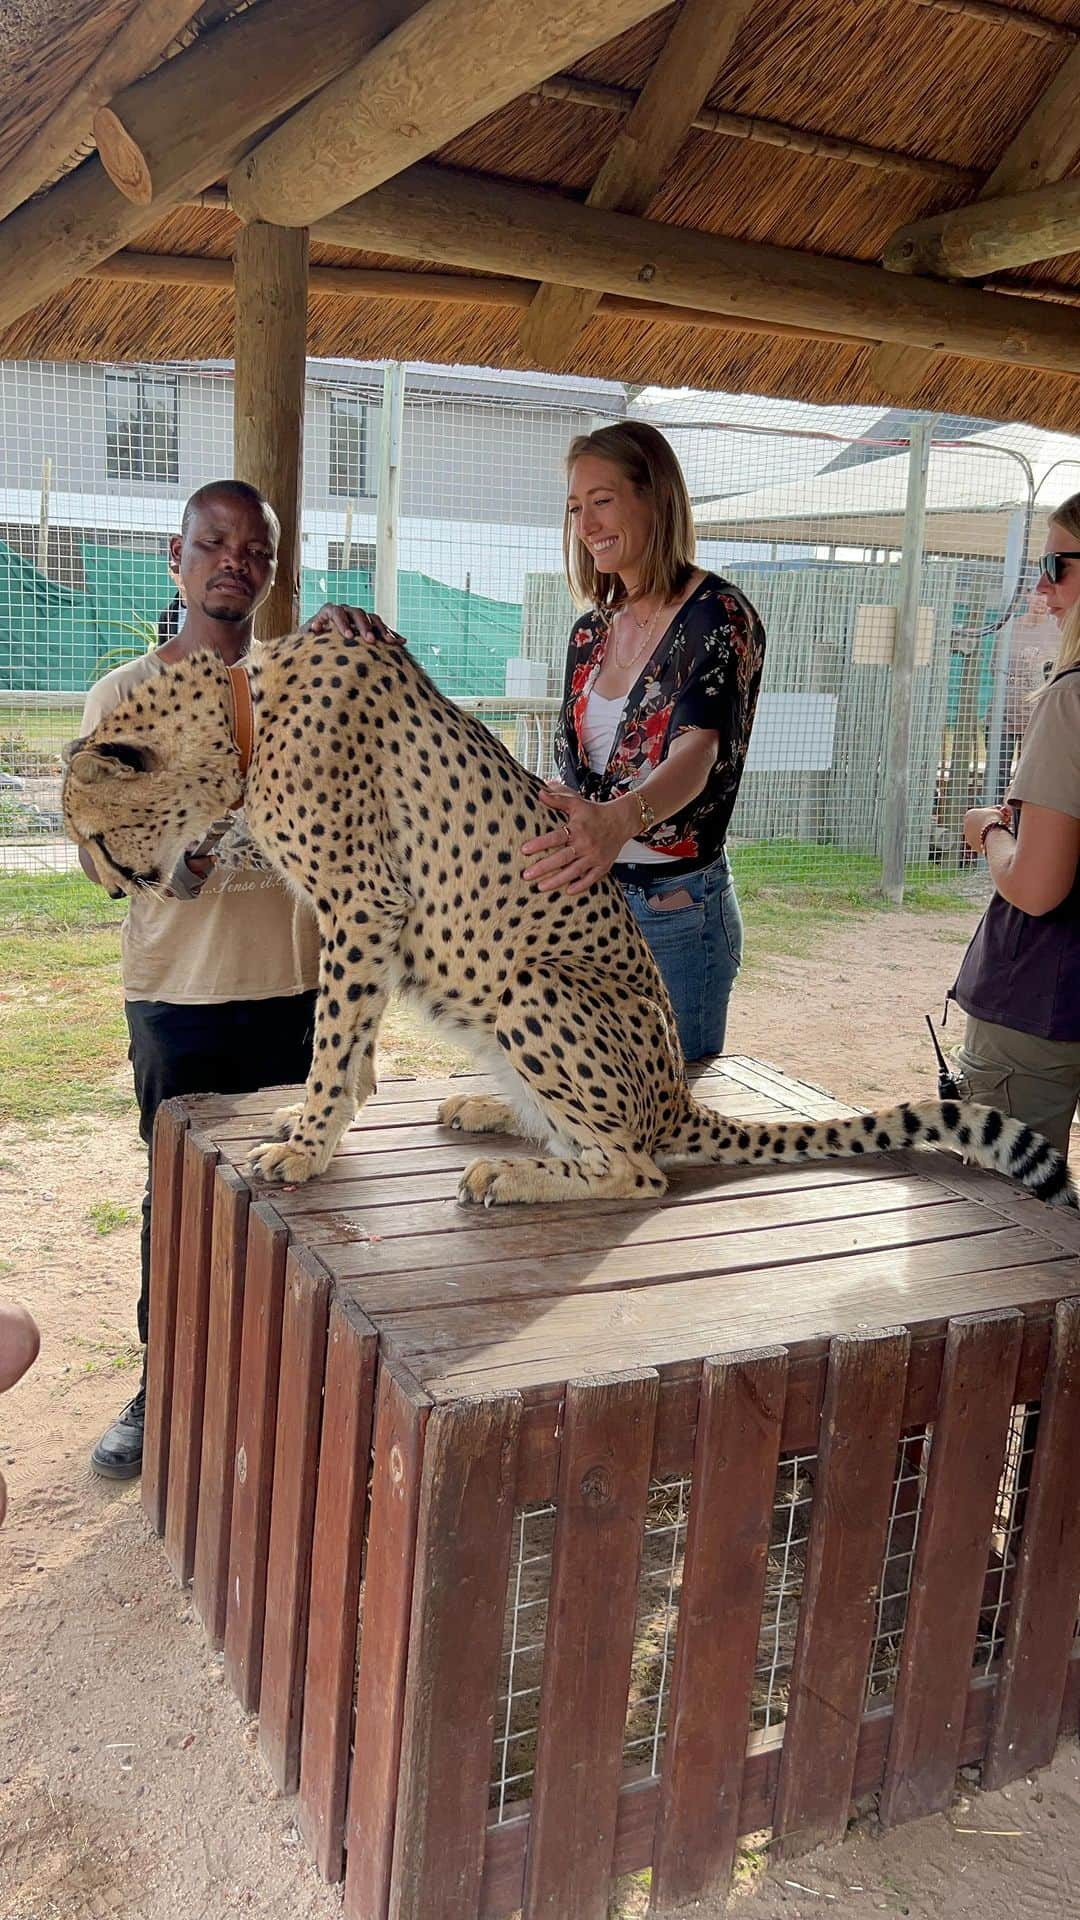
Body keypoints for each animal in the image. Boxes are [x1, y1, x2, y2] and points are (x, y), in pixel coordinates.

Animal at [62, 645, 1068, 1213]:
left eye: (97, 837)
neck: (244, 718)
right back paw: (491, 1109)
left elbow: (336, 1035)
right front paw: (322, 1122)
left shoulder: (364, 903)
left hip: (533, 986)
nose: (118, 888)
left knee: (636, 1169)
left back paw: (514, 1176)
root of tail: (676, 1096)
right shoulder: (363, 915)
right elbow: (352, 1041)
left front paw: (307, 1144)